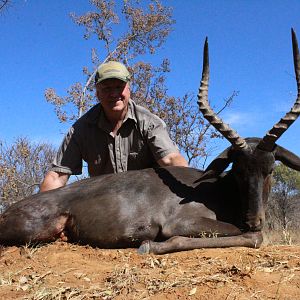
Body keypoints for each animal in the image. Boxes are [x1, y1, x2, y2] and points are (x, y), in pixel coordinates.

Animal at [0, 28, 298, 255]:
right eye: (237, 170)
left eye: (270, 169)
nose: (254, 220)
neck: (219, 190)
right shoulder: (180, 224)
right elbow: (252, 238)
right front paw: (149, 246)